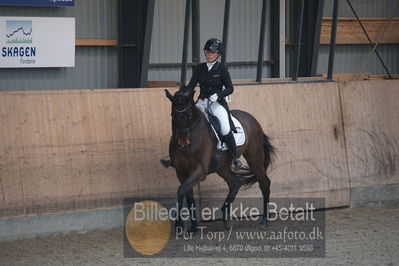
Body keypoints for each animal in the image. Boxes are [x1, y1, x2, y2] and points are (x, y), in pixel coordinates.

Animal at [164, 88, 274, 233]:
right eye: (173, 115)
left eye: (189, 114)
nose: (183, 142)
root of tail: (252, 119)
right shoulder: (181, 171)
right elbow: (187, 195)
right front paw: (192, 227)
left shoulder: (199, 171)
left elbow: (181, 190)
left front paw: (179, 225)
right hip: (221, 167)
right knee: (235, 183)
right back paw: (226, 219)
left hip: (254, 158)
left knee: (264, 183)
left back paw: (264, 220)